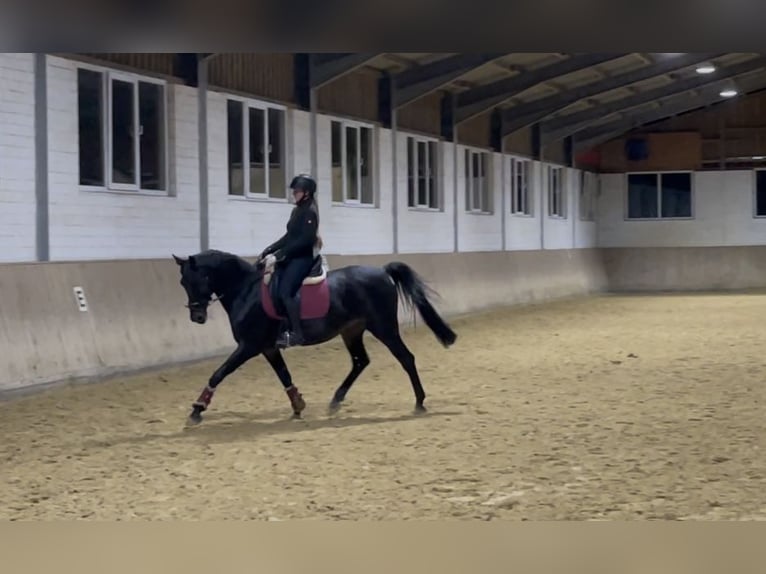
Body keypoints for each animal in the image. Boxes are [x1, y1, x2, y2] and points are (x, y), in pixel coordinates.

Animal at [173, 250, 460, 426]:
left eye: (197, 279)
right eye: (182, 283)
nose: (197, 317)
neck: (247, 290)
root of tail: (381, 271)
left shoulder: (249, 346)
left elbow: (218, 373)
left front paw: (197, 409)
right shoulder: (268, 348)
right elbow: (284, 375)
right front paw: (298, 405)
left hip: (384, 328)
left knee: (405, 358)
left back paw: (419, 402)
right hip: (352, 330)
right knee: (360, 361)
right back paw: (335, 402)